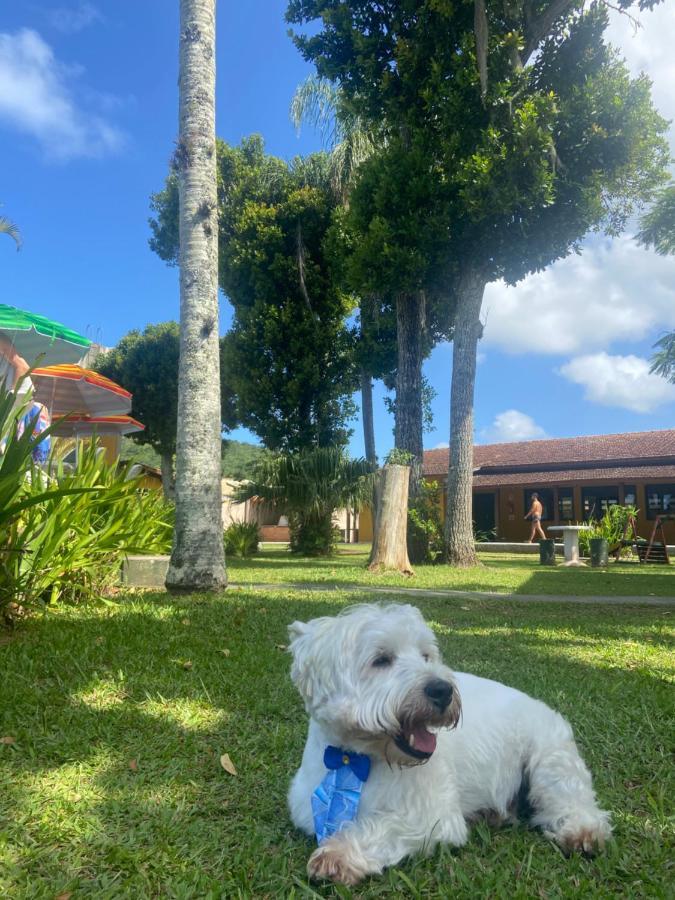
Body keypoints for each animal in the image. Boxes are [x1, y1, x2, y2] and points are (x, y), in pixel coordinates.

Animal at [286, 604, 612, 884]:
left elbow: (379, 827)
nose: (443, 690)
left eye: (426, 655)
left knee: (573, 801)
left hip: (550, 761)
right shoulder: (307, 805)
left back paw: (582, 832)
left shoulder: (430, 816)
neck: (361, 758)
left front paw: (338, 854)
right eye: (380, 659)